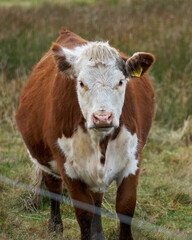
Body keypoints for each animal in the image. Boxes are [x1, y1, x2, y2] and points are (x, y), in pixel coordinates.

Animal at [15, 28, 155, 240]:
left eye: (120, 81)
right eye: (81, 83)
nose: (102, 117)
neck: (100, 141)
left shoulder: (132, 161)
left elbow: (125, 208)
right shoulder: (68, 169)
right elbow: (83, 213)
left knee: (97, 197)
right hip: (47, 160)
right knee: (54, 189)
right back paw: (55, 227)